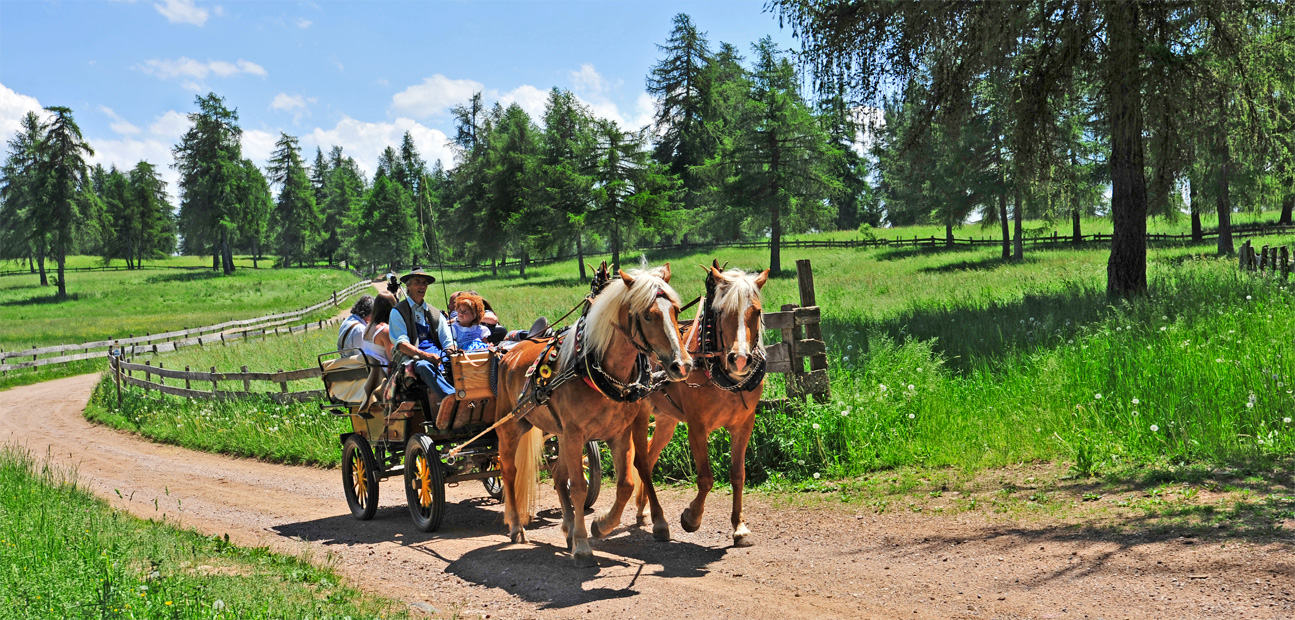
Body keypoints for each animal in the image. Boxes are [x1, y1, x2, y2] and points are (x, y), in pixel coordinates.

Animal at [492, 261, 688, 566]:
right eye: (647, 315)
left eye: (675, 311)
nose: (682, 365)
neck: (595, 369)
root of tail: (511, 351)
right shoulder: (576, 434)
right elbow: (579, 488)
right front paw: (583, 545)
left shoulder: (618, 434)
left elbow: (626, 483)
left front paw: (600, 526)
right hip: (512, 427)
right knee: (509, 471)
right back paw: (515, 526)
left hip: (559, 434)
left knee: (558, 475)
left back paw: (568, 528)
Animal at [626, 261, 766, 548]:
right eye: (722, 311)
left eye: (756, 311)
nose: (740, 359)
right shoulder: (697, 427)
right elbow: (706, 478)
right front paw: (691, 518)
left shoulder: (744, 426)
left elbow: (738, 475)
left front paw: (739, 527)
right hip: (640, 414)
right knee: (642, 463)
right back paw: (659, 521)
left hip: (666, 420)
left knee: (650, 456)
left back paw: (644, 510)